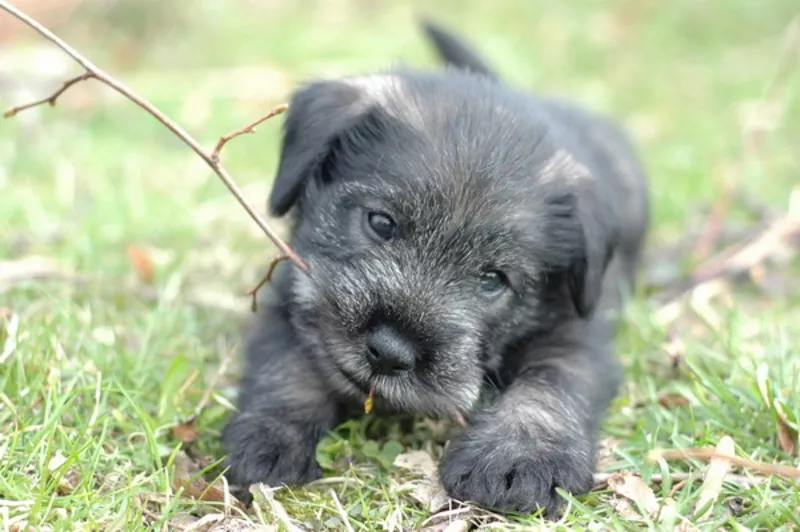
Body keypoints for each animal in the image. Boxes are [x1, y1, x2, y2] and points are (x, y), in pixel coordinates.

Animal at [220, 20, 648, 516]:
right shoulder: (293, 290)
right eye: (380, 222)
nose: (389, 351)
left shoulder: (577, 332)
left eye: (492, 279)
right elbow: (287, 363)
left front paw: (519, 456)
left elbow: (552, 381)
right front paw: (270, 434)